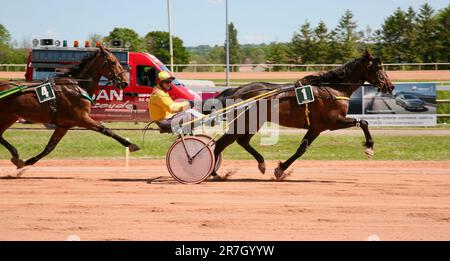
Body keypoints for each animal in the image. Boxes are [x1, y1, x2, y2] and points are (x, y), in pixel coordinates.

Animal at [0, 44, 139, 171]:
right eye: (113, 62)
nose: (124, 82)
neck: (77, 86)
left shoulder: (64, 125)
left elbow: (49, 147)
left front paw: (27, 162)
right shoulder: (82, 118)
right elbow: (106, 129)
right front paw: (131, 145)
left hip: (10, 116)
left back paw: (16, 156)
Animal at [211, 50, 394, 180]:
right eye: (378, 67)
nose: (390, 86)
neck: (333, 89)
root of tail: (237, 89)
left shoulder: (316, 128)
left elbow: (301, 149)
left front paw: (280, 169)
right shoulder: (333, 122)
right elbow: (363, 122)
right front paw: (369, 147)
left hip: (254, 122)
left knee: (242, 141)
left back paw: (261, 164)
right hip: (243, 121)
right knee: (221, 144)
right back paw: (214, 173)